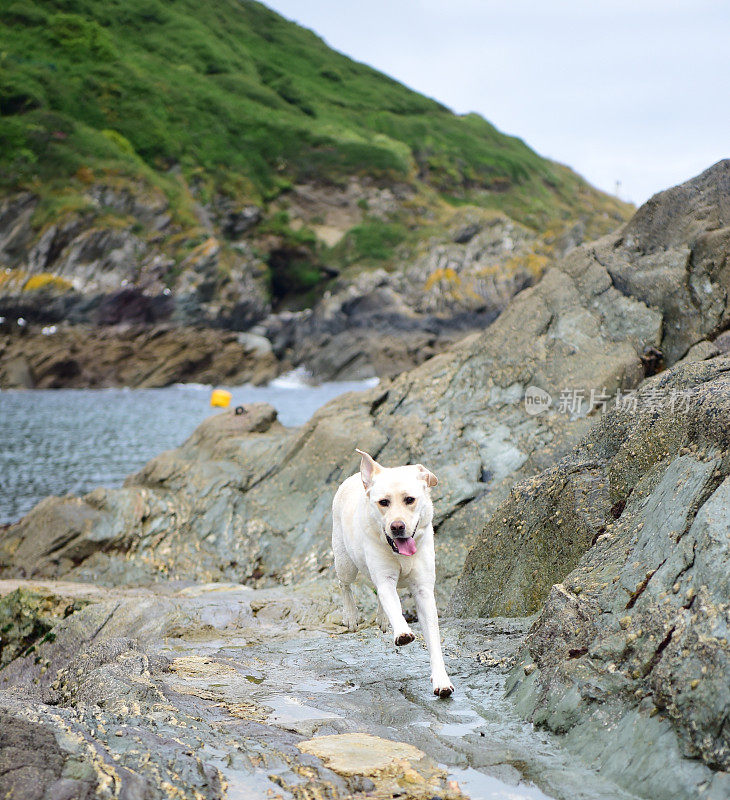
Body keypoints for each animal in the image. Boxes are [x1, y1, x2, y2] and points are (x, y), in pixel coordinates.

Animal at [332, 446, 452, 696]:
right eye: (384, 502)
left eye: (410, 500)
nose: (397, 527)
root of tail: (355, 477)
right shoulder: (385, 578)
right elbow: (394, 605)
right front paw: (403, 632)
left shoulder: (424, 591)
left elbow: (434, 638)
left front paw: (441, 680)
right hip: (345, 562)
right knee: (345, 584)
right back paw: (351, 615)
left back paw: (382, 619)